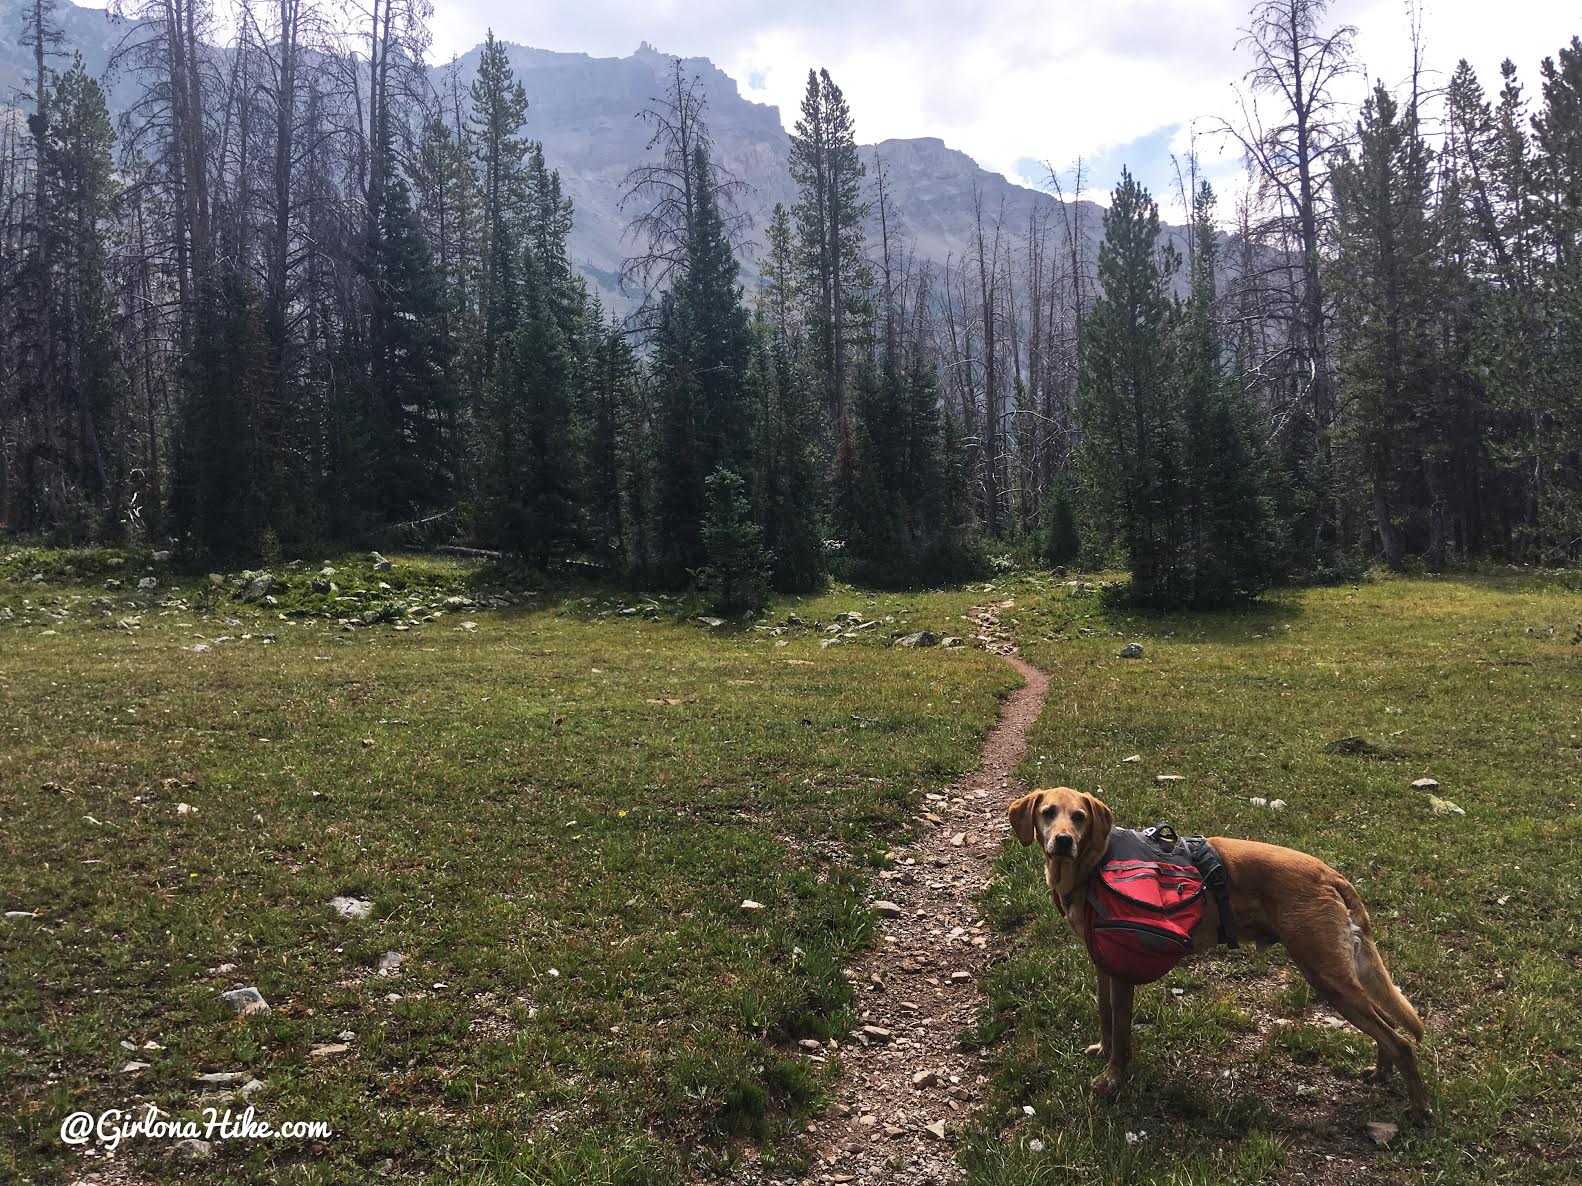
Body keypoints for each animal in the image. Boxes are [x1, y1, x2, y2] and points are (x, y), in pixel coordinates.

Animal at [1012, 790, 1436, 1125]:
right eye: (1048, 812)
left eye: (1079, 817)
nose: (1063, 841)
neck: (1092, 865)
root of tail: (1330, 874)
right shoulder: (1103, 965)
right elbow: (1105, 1018)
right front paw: (1102, 1052)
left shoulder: (1123, 972)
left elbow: (1122, 1033)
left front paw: (1112, 1078)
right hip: (1339, 978)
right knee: (1388, 1028)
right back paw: (1381, 1074)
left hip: (1326, 975)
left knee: (1400, 1041)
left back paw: (1418, 1110)